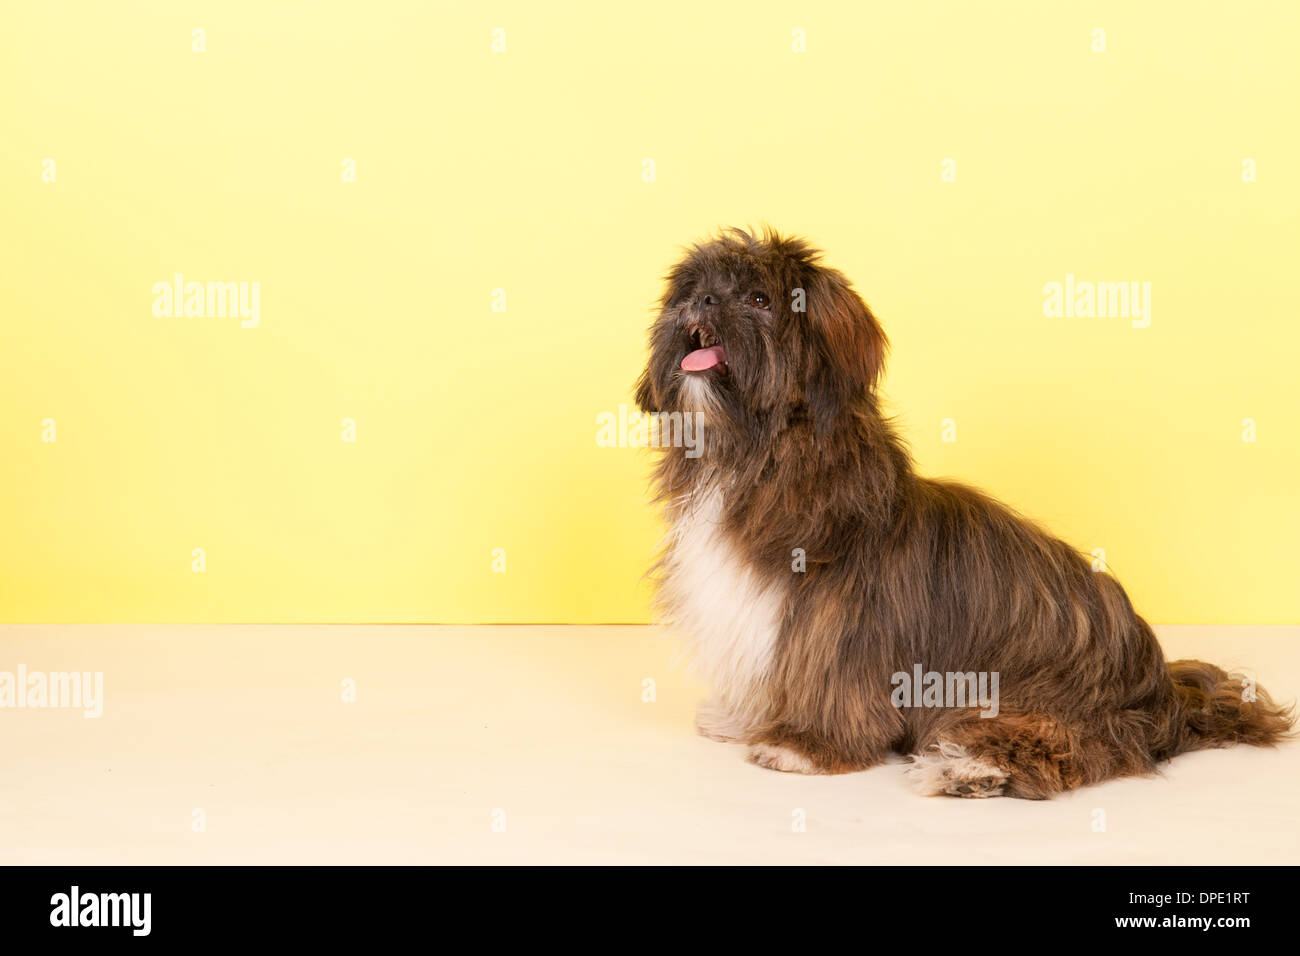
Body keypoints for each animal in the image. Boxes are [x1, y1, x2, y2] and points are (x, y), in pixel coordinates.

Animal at [631, 226, 1289, 801]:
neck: (752, 451)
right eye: (695, 287)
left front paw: (805, 746)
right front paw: (747, 717)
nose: (701, 301)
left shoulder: (841, 614)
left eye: (759, 299)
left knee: (1079, 747)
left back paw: (970, 768)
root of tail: (1163, 692)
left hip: (1033, 693)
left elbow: (833, 678)